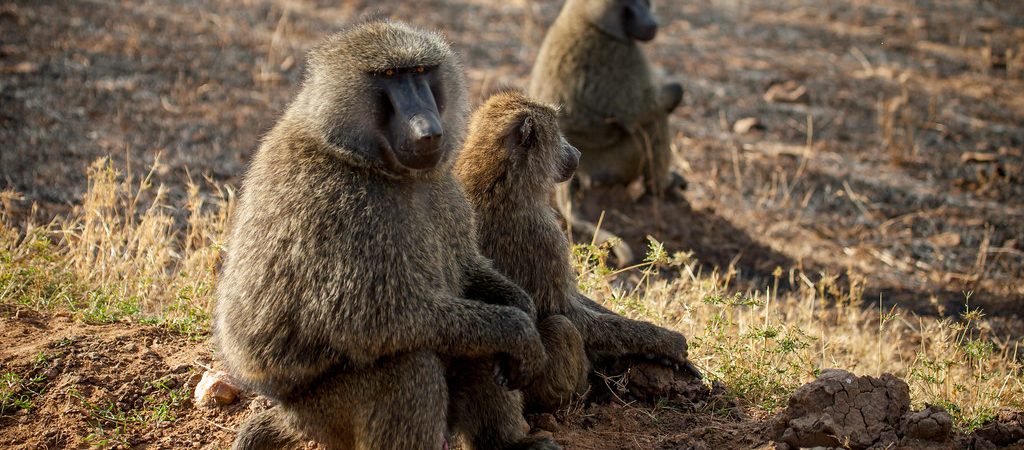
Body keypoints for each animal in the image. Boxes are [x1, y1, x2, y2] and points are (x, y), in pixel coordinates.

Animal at [214, 19, 559, 450]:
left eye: (421, 71)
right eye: (391, 75)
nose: (428, 130)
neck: (368, 161)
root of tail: (288, 415)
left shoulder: (444, 189)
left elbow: (467, 269)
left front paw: (523, 310)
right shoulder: (334, 204)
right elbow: (374, 319)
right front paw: (519, 331)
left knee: (476, 345)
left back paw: (507, 443)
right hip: (324, 415)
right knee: (409, 366)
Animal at [454, 90, 699, 413]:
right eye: (558, 131)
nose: (578, 153)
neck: (499, 174)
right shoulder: (543, 236)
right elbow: (567, 312)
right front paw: (665, 342)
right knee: (562, 326)